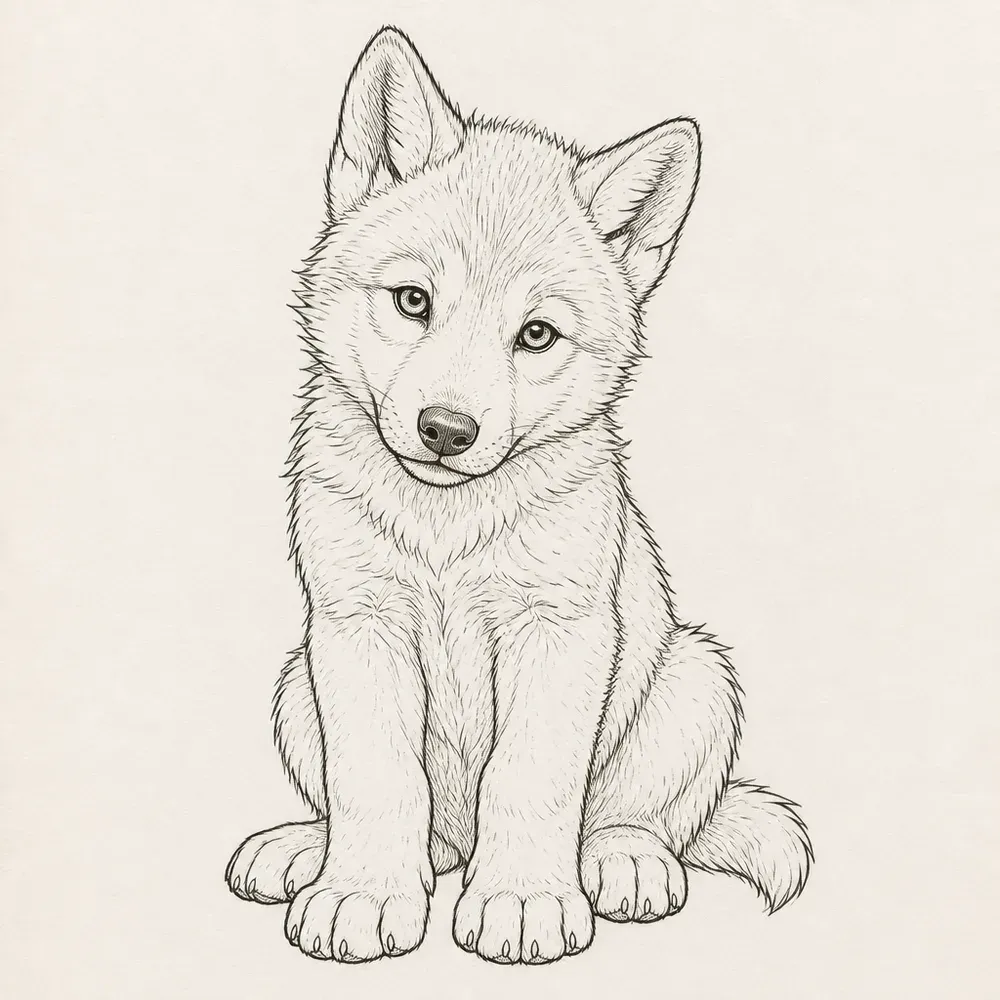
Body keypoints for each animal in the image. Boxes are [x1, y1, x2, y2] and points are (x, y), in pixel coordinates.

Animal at [224, 26, 812, 965]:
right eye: (413, 300)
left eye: (536, 335)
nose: (445, 430)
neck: (447, 527)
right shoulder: (356, 624)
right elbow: (375, 776)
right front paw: (362, 895)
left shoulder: (559, 631)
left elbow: (529, 777)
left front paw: (524, 903)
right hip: (294, 683)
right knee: (413, 826)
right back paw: (309, 849)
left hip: (697, 677)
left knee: (638, 817)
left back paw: (621, 863)